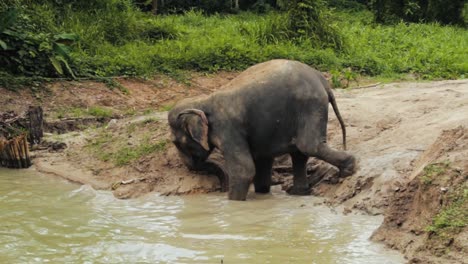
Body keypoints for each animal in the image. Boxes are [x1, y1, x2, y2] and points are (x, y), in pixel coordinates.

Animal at [170, 59, 356, 200]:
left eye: (176, 143)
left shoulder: (228, 128)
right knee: (299, 154)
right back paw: (299, 193)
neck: (203, 100)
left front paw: (233, 204)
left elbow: (244, 169)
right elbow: (262, 162)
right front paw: (262, 193)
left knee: (308, 146)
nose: (222, 189)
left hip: (310, 105)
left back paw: (348, 170)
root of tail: (323, 81)